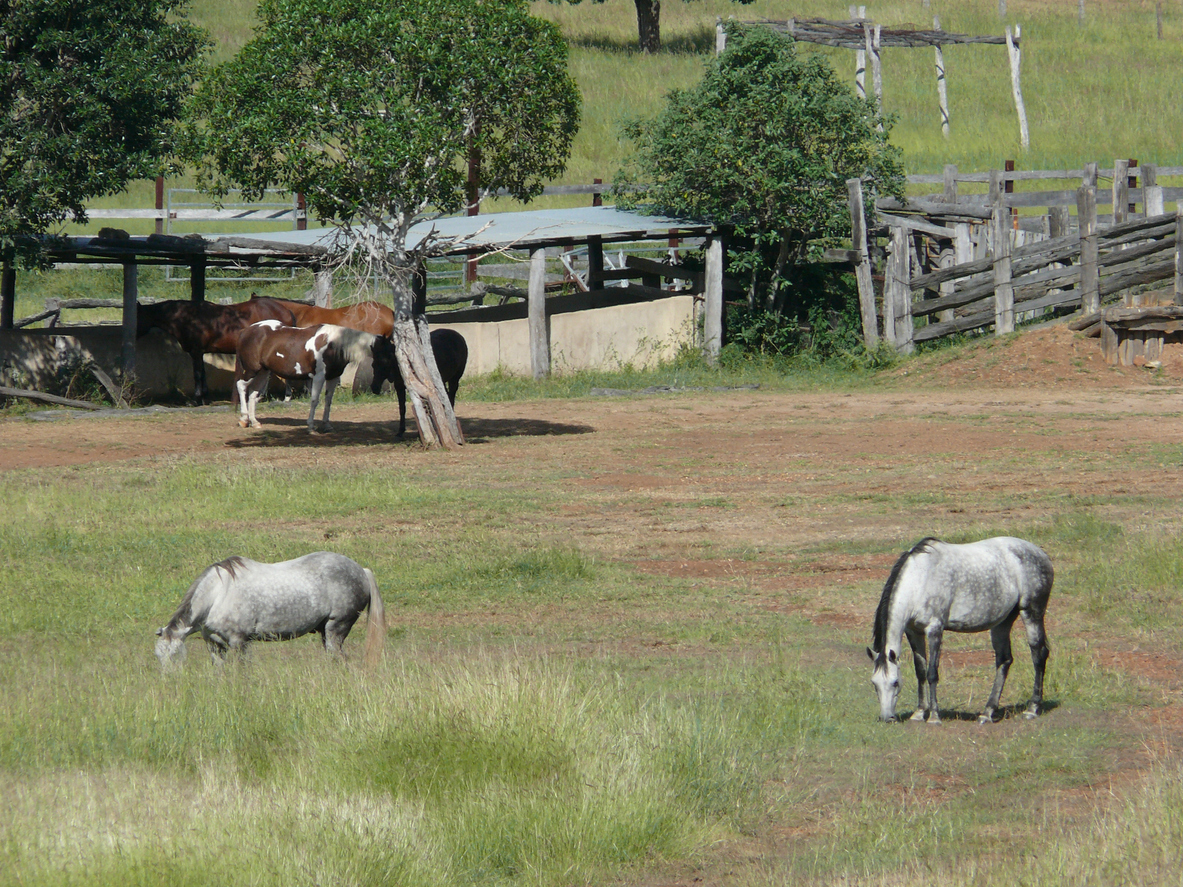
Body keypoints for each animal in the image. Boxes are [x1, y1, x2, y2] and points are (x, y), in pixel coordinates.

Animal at [137, 302, 300, 406]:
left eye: (137, 316)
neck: (189, 317)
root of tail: (286, 310)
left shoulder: (196, 352)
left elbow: (197, 375)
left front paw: (196, 400)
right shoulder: (200, 352)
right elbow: (203, 374)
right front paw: (205, 398)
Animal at [154, 553, 385, 671]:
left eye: (174, 655)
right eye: (158, 655)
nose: (170, 681)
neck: (219, 594)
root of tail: (362, 571)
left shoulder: (240, 642)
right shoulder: (215, 646)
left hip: (335, 629)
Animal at [235, 324, 402, 435]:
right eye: (388, 358)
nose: (377, 387)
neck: (334, 345)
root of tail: (245, 331)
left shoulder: (333, 377)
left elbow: (328, 401)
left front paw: (327, 425)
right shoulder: (319, 377)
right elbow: (315, 400)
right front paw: (310, 426)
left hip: (263, 372)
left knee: (253, 393)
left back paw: (255, 422)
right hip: (252, 370)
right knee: (241, 386)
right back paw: (243, 419)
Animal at [865, 539, 1050, 723]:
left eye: (895, 682)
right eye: (874, 683)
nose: (887, 718)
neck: (920, 579)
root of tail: (1041, 553)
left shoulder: (935, 629)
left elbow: (932, 673)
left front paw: (934, 716)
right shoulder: (913, 631)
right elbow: (921, 671)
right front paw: (919, 713)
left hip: (1031, 613)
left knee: (1038, 654)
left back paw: (1032, 708)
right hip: (1003, 621)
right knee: (1004, 660)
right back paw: (988, 712)